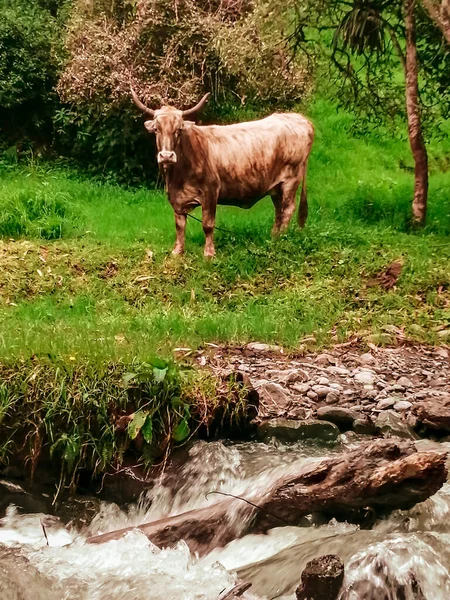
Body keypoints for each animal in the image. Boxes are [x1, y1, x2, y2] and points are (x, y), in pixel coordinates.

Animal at [130, 89, 312, 258]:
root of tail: (302, 120)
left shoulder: (210, 192)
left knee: (287, 209)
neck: (176, 177)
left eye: (179, 129)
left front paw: (209, 253)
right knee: (279, 210)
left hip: (290, 180)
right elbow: (179, 225)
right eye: (156, 129)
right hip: (276, 186)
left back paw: (281, 240)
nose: (166, 156)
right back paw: (274, 237)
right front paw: (177, 252)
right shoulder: (177, 199)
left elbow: (208, 224)